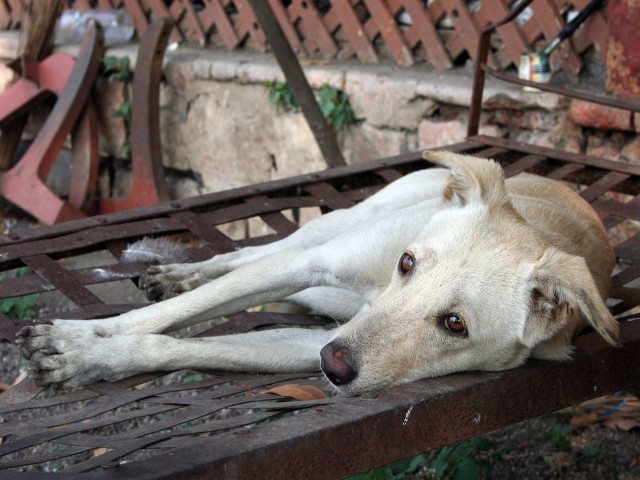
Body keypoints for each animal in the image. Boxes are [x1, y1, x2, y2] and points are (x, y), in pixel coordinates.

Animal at [16, 153, 620, 394]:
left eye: (455, 325)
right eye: (407, 263)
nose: (333, 364)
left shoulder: (319, 342)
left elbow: (177, 342)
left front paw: (90, 357)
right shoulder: (314, 263)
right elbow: (168, 315)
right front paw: (79, 341)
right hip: (333, 232)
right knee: (249, 256)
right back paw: (179, 274)